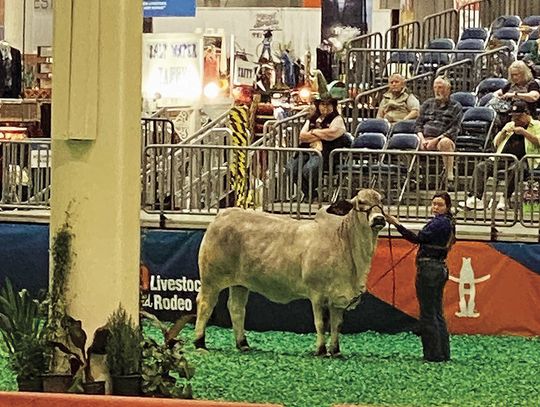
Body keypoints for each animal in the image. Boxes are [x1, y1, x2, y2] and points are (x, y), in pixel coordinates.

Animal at [194, 190, 384, 356]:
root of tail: (222, 215)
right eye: (361, 202)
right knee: (205, 304)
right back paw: (200, 343)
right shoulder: (317, 294)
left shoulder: (338, 298)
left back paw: (243, 344)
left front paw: (336, 351)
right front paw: (321, 350)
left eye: (381, 201)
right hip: (210, 278)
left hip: (240, 284)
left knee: (236, 308)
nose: (379, 219)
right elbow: (321, 323)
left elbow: (336, 325)